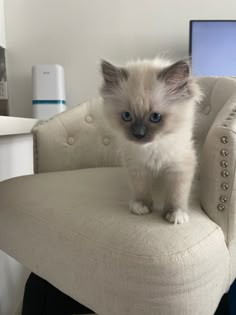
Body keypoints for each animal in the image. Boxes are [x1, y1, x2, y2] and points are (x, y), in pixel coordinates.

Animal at [99, 57, 201, 225]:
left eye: (155, 117)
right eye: (127, 116)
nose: (138, 134)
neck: (152, 149)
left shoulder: (179, 167)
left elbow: (177, 194)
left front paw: (176, 214)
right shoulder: (137, 167)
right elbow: (141, 189)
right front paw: (142, 206)